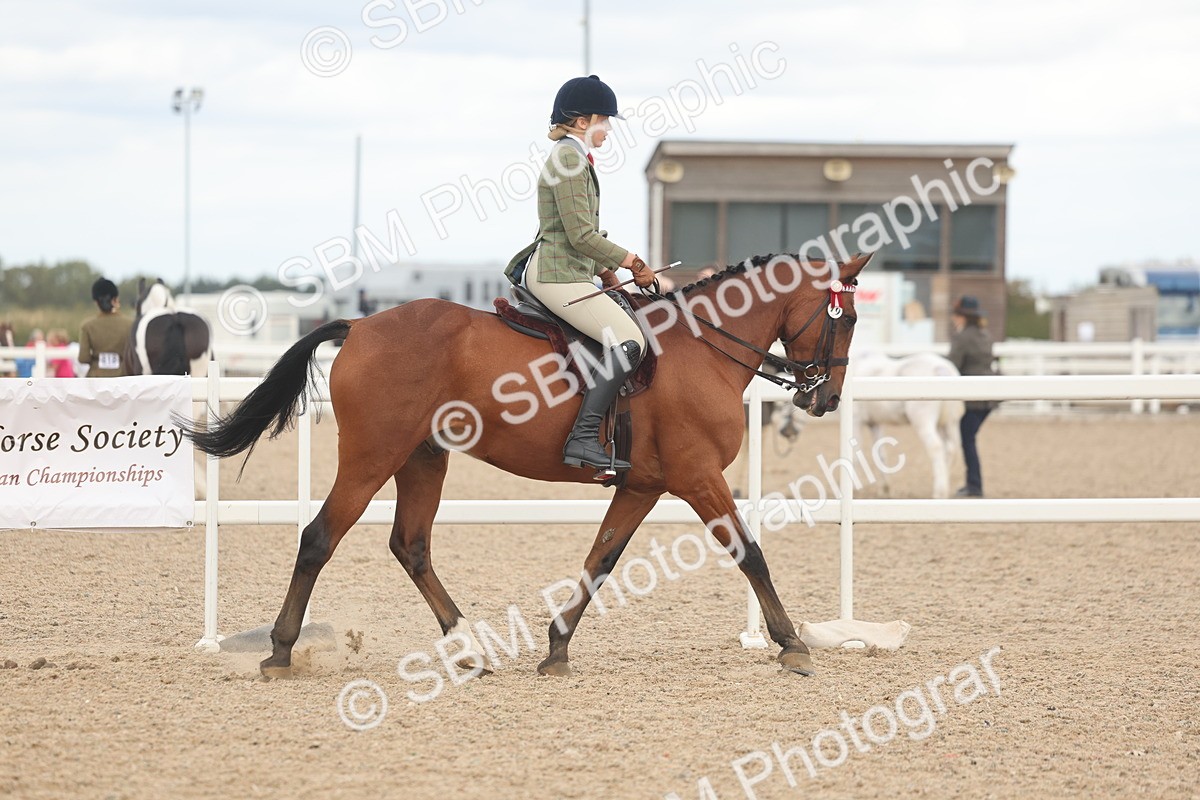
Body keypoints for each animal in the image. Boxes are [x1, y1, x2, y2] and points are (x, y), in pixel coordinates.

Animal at [183, 252, 873, 680]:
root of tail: (360, 325)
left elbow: (600, 562)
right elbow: (750, 552)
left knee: (411, 546)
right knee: (319, 538)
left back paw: (468, 647)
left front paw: (557, 648)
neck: (701, 349)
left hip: (422, 459)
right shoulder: (697, 477)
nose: (826, 399)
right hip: (371, 456)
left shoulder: (644, 486)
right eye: (847, 318)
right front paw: (793, 644)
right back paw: (280, 652)